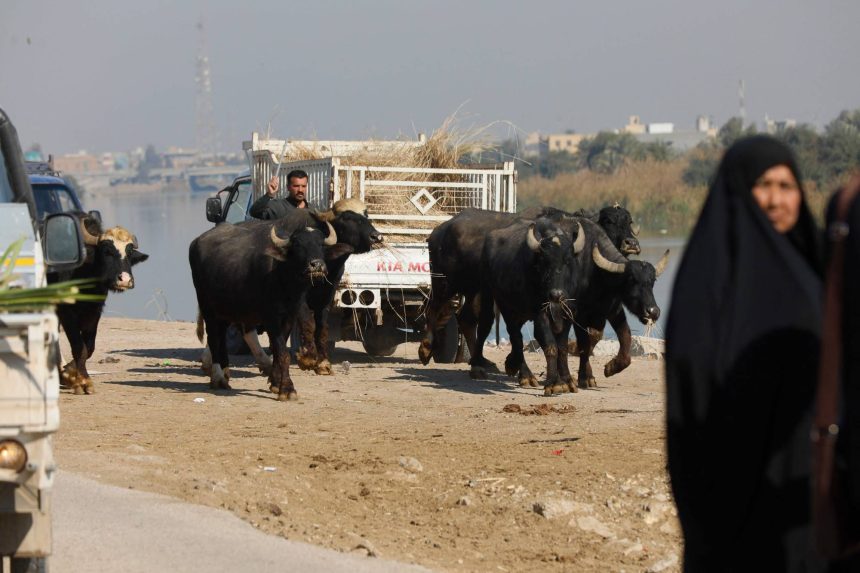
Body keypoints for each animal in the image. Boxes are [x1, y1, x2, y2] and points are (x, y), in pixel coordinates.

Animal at [51, 212, 148, 396]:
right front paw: (82, 382)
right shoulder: (67, 312)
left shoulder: (94, 311)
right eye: (106, 252)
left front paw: (70, 372)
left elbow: (89, 347)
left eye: (130, 253)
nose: (125, 280)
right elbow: (79, 347)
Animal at [191, 208, 336, 400]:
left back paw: (226, 373)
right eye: (298, 245)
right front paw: (287, 389)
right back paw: (218, 378)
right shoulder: (271, 318)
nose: (317, 265)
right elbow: (282, 353)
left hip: (225, 309)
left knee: (221, 337)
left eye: (321, 245)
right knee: (214, 338)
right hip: (208, 307)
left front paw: (275, 383)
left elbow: (278, 351)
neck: (284, 280)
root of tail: (196, 241)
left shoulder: (289, 317)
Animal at [470, 216, 584, 394]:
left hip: (519, 310)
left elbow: (563, 347)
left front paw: (567, 380)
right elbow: (551, 345)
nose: (556, 294)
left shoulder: (569, 312)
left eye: (567, 261)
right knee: (494, 328)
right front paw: (554, 383)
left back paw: (514, 365)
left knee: (516, 336)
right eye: (544, 262)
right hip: (494, 296)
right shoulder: (540, 313)